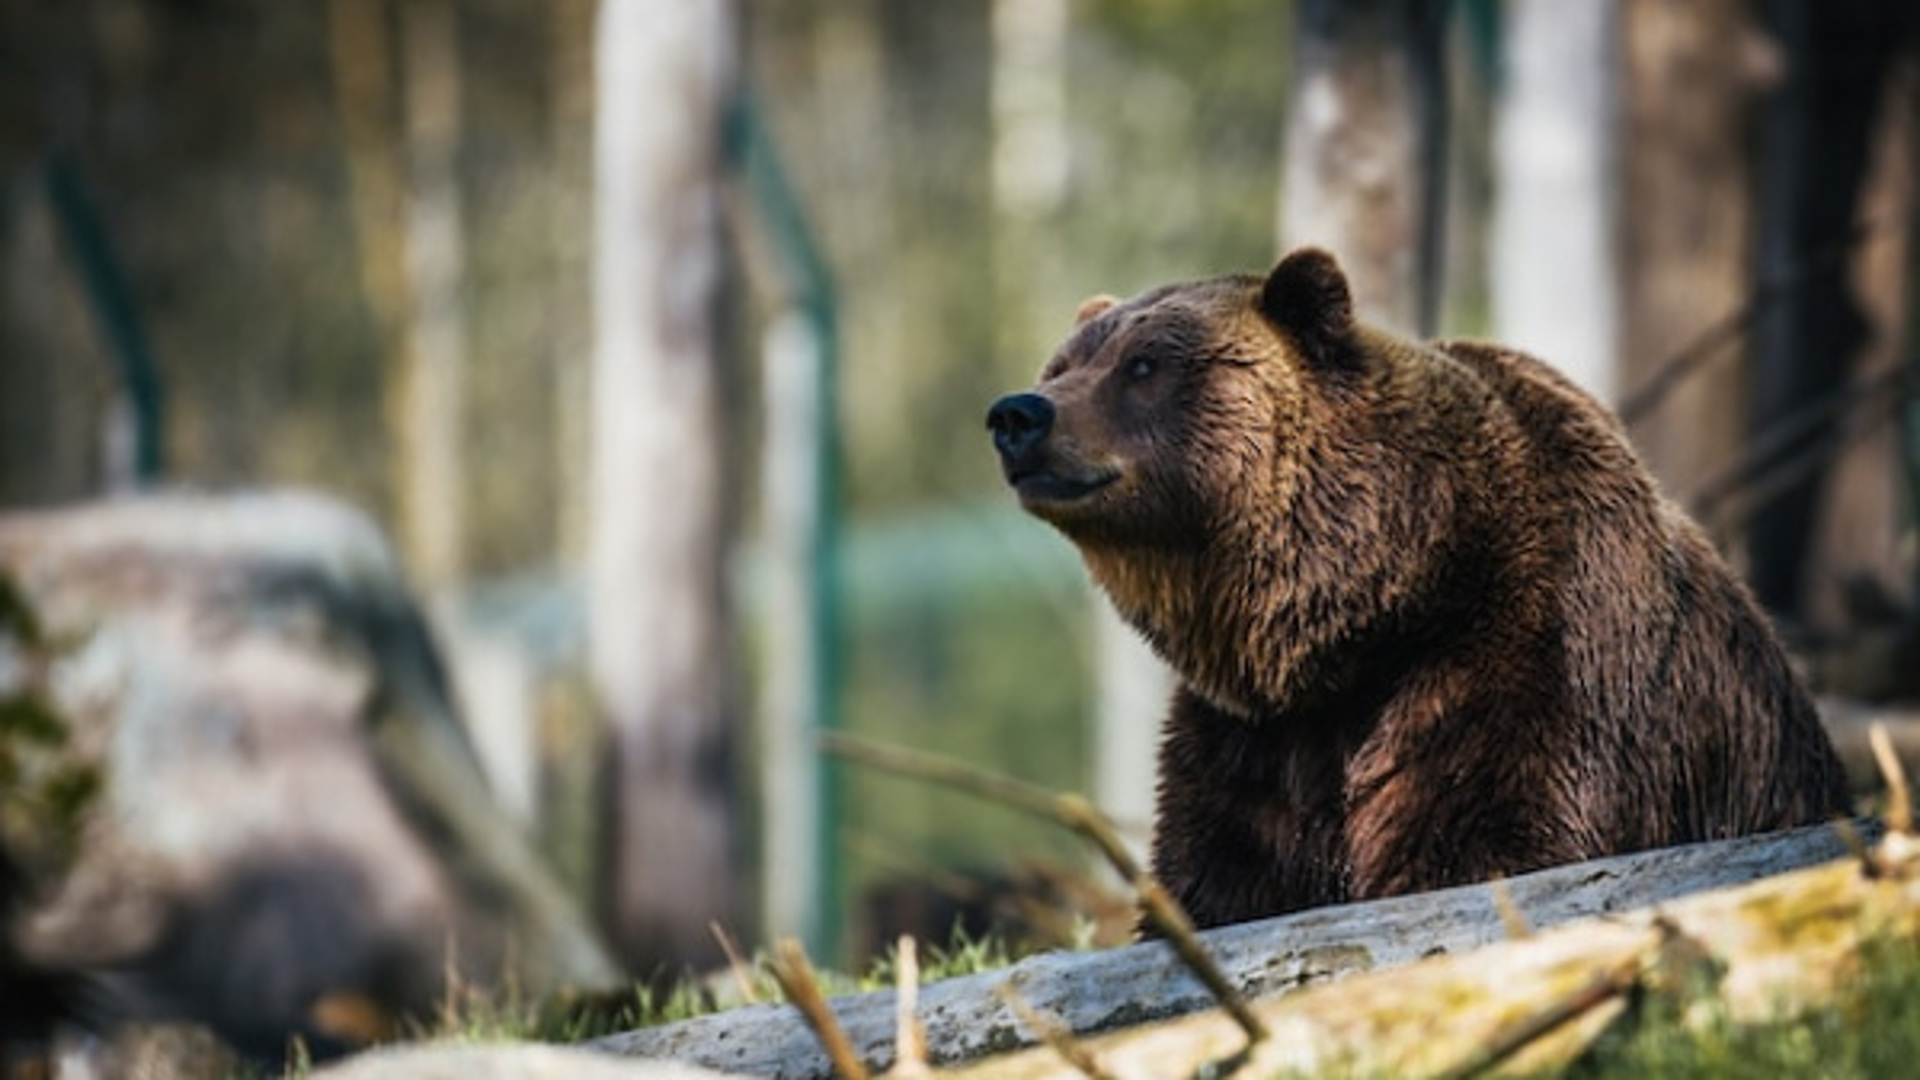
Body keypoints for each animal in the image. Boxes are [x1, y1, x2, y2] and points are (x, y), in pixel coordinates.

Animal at [983, 244, 1850, 926]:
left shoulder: (1526, 657)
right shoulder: (1253, 741)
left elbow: (1486, 841)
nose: (1019, 414)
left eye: (1144, 366)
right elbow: (1220, 879)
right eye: (1062, 365)